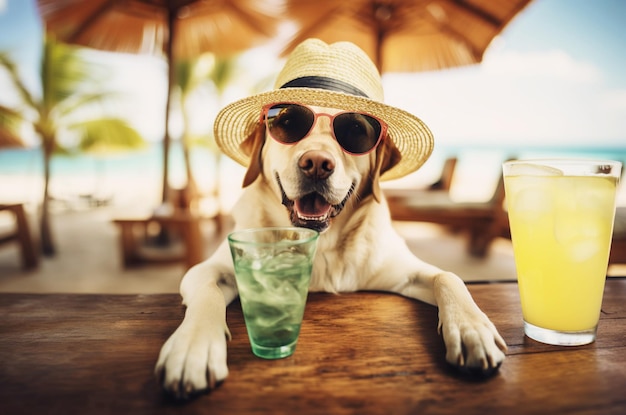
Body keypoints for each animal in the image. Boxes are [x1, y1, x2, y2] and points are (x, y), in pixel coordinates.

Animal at [156, 39, 508, 400]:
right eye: (287, 122)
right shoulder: (208, 270)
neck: (320, 245)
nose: (316, 163)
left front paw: (471, 329)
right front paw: (192, 347)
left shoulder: (405, 271)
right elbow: (207, 295)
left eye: (355, 130)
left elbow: (449, 277)